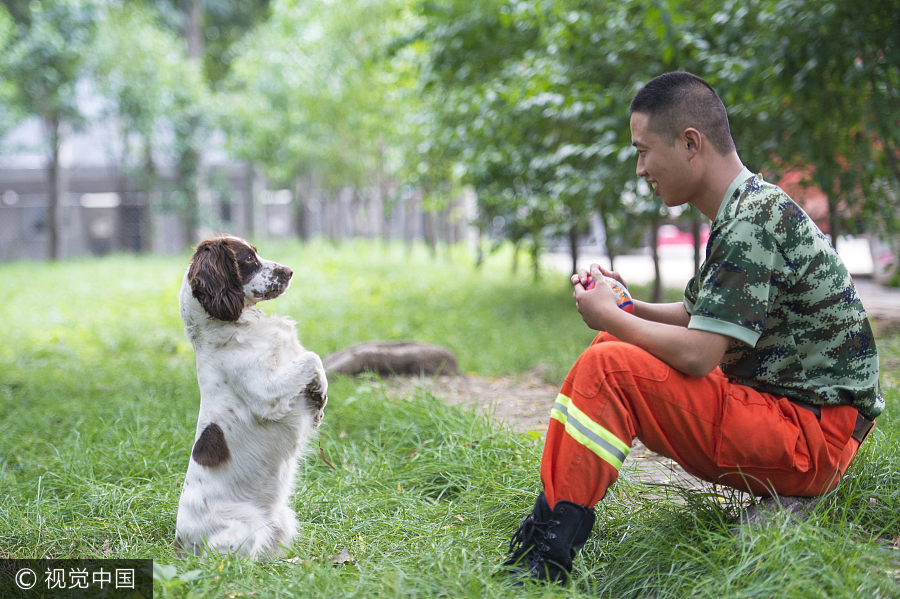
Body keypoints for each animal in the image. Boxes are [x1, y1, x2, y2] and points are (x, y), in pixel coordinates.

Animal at [173, 233, 326, 556]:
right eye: (248, 259)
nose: (289, 271)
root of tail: (180, 543)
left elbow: (310, 362)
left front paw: (319, 401)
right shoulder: (267, 393)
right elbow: (312, 358)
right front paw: (319, 397)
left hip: (283, 518)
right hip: (245, 529)